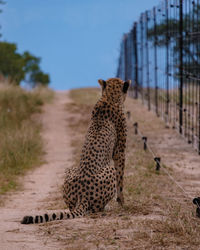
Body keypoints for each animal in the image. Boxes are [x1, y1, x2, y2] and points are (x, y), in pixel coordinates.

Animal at [21, 77, 130, 224]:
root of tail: (82, 194)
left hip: (71, 170)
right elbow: (121, 179)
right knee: (96, 208)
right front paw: (122, 202)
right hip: (109, 170)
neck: (109, 97)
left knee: (73, 207)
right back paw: (107, 208)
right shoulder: (119, 152)